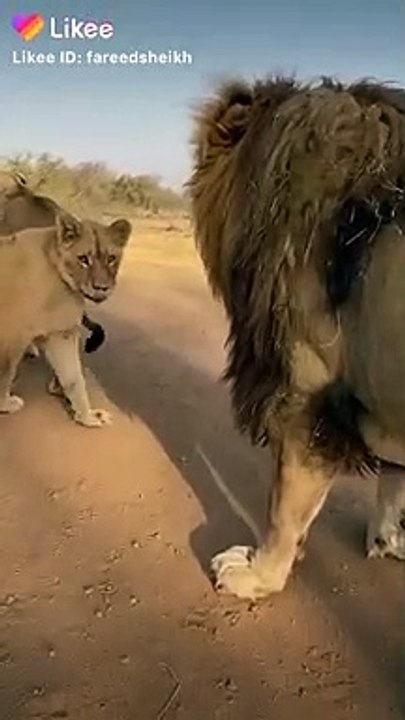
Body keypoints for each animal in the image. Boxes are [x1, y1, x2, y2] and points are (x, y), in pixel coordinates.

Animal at [0, 211, 131, 427]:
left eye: (111, 258)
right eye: (83, 259)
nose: (102, 287)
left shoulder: (61, 333)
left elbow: (73, 377)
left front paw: (87, 417)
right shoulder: (13, 334)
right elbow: (5, 374)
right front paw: (4, 404)